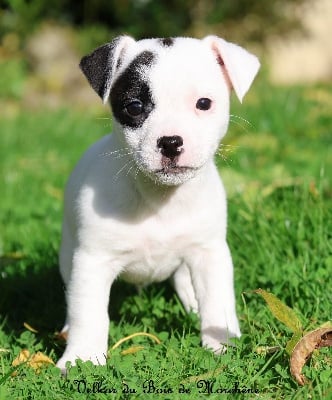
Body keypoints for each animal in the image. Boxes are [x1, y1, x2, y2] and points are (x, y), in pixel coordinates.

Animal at [56, 36, 260, 370]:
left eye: (204, 103)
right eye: (135, 107)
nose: (171, 142)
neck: (161, 199)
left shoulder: (209, 254)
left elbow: (217, 302)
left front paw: (222, 346)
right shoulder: (92, 262)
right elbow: (89, 313)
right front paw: (82, 358)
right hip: (68, 255)